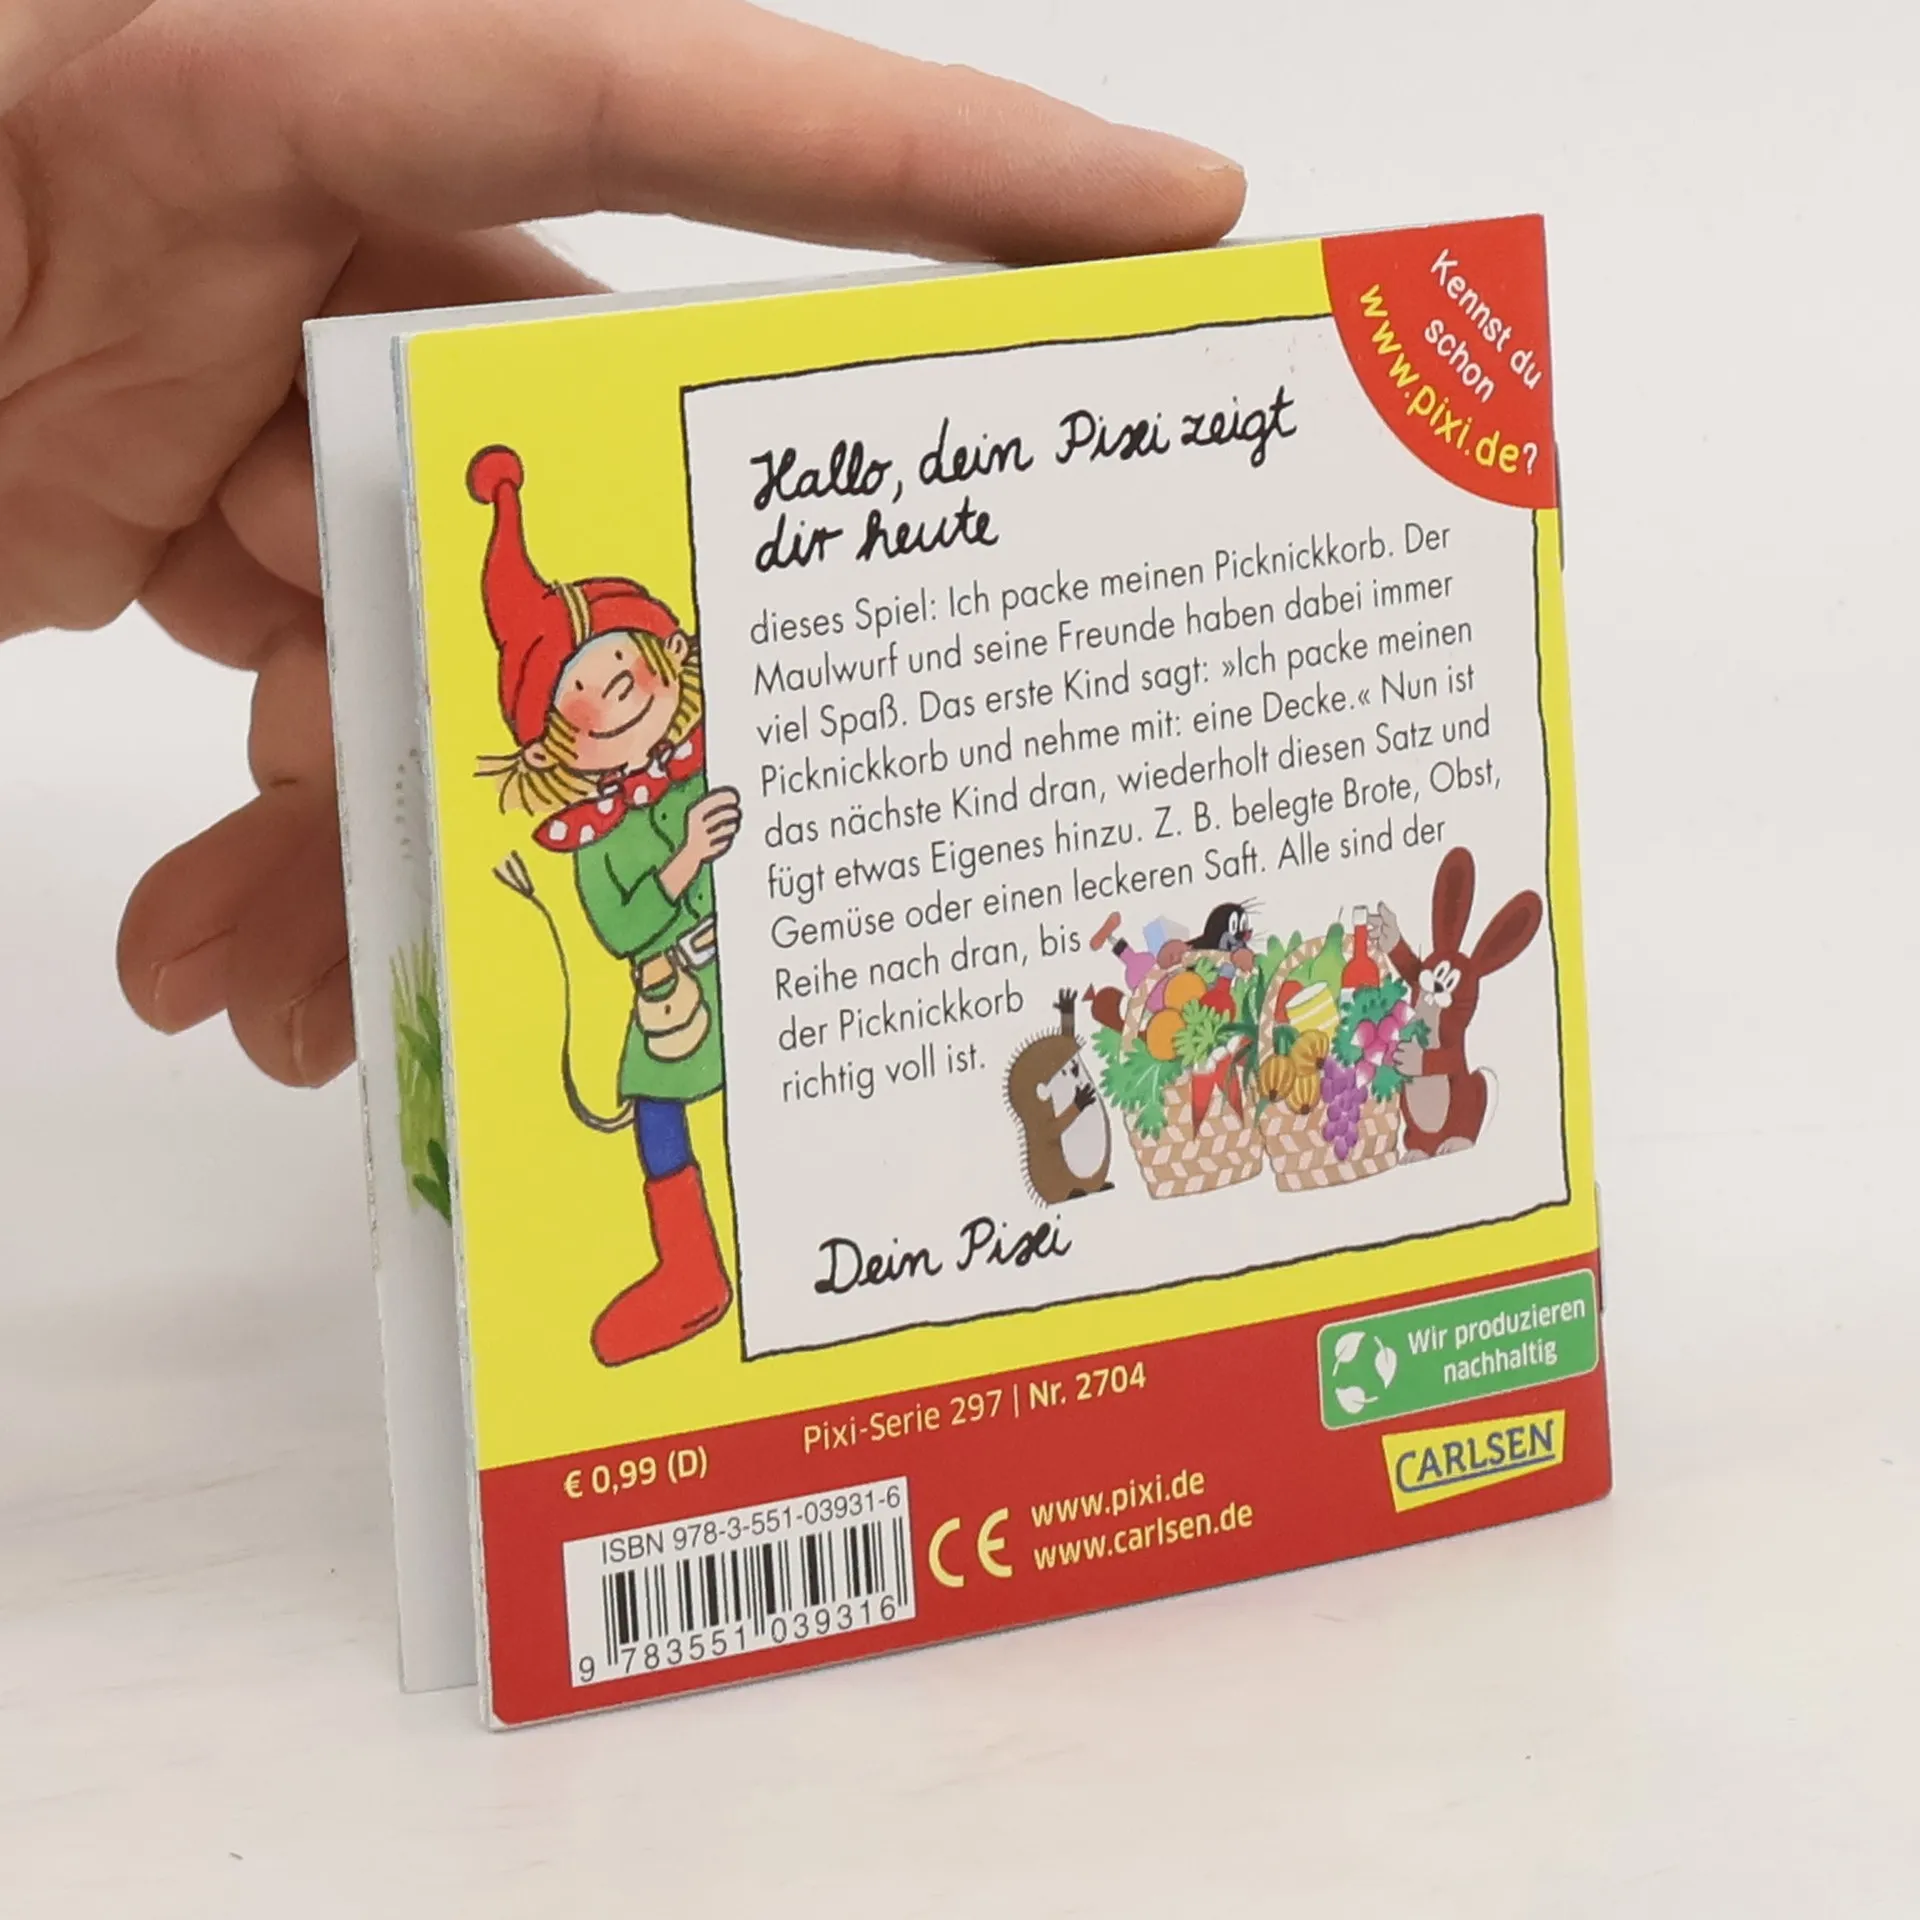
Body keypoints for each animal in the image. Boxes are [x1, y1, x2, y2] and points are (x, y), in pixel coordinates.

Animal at [1372, 848, 1543, 1160]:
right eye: (1437, 970)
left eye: (1450, 980)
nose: (1437, 986)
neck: (1431, 1014)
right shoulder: (1416, 980)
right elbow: (1409, 966)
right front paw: (1388, 932)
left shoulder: (1453, 1041)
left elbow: (1446, 1057)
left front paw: (1413, 1057)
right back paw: (1416, 1153)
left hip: (1469, 1095)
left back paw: (1456, 1143)